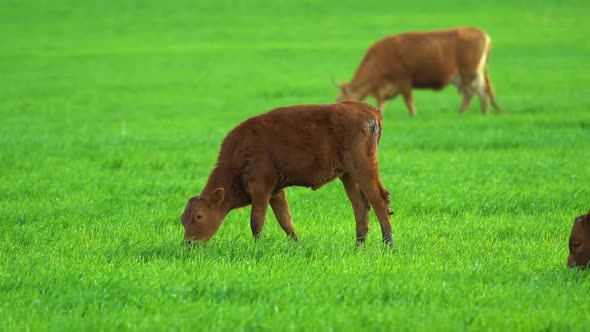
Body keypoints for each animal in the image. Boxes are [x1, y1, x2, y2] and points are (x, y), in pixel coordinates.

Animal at [336, 26, 502, 116]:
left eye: (339, 98)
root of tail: (483, 34)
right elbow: (382, 103)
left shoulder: (403, 81)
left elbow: (409, 101)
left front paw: (414, 115)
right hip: (473, 74)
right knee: (482, 91)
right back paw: (484, 112)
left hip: (468, 73)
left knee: (470, 92)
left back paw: (462, 112)